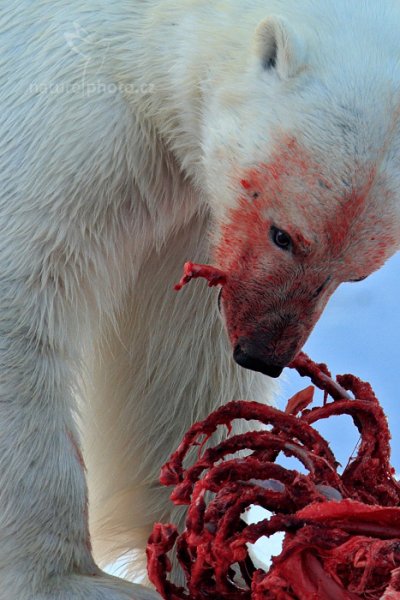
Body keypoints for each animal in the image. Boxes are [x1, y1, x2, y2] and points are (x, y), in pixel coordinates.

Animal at [0, 1, 400, 600]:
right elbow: (26, 288)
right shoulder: (70, 111)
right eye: (284, 235)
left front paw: (221, 542)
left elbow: (177, 355)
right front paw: (68, 579)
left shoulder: (191, 211)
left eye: (355, 275)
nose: (261, 353)